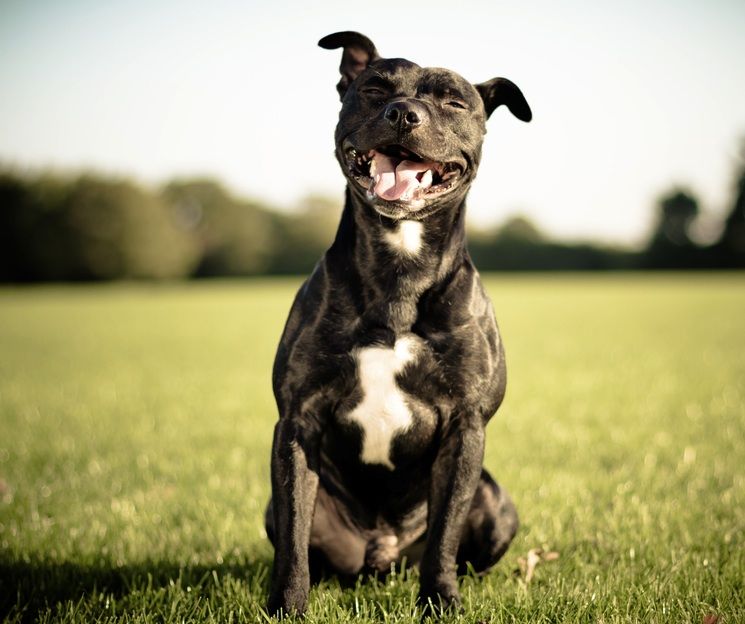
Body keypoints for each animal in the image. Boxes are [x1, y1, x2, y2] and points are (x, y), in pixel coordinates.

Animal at [264, 31, 532, 616]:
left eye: (454, 102)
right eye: (374, 89)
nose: (404, 113)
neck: (399, 271)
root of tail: (381, 556)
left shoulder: (464, 428)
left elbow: (445, 534)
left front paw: (440, 601)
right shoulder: (297, 422)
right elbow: (293, 538)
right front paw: (287, 607)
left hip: (498, 503)